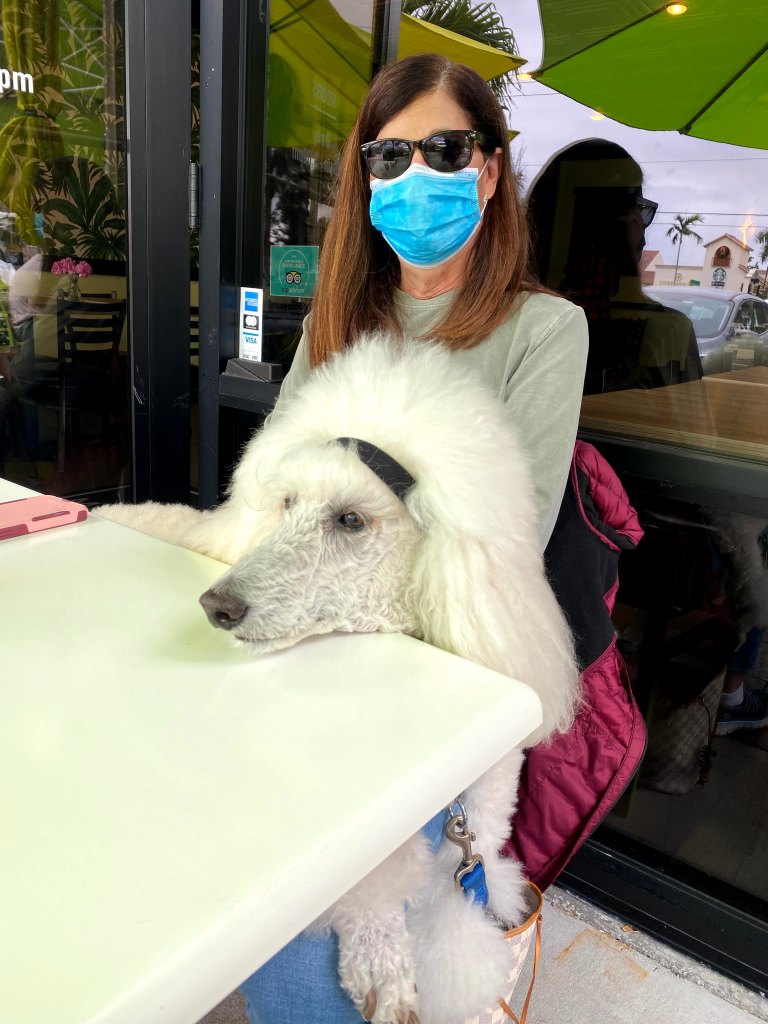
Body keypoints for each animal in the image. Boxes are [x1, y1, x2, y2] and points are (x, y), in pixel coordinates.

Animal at [98, 336, 579, 1024]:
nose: (217, 606)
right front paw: (383, 959)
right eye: (287, 503)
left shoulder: (481, 824)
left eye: (351, 520)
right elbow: (372, 874)